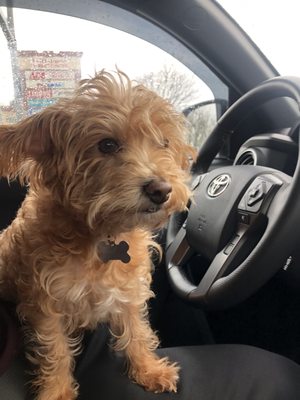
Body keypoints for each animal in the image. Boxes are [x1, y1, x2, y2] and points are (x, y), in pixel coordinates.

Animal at [0, 70, 195, 398]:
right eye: (106, 145)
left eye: (164, 143)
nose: (161, 190)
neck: (103, 233)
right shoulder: (45, 302)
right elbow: (55, 350)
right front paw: (56, 391)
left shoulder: (129, 289)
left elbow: (136, 330)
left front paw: (148, 369)